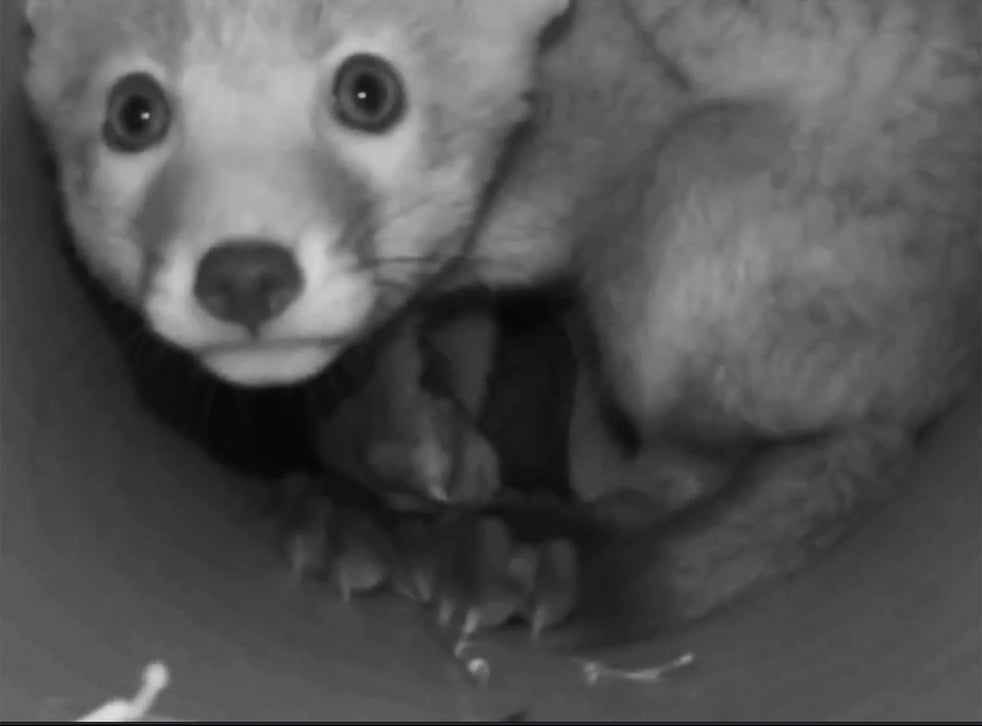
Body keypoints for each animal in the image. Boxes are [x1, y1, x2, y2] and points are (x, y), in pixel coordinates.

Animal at [23, 0, 981, 649]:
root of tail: (935, 384)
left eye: (369, 92)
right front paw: (395, 459)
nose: (245, 275)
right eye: (134, 112)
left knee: (734, 466)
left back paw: (525, 546)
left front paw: (413, 487)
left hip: (676, 232)